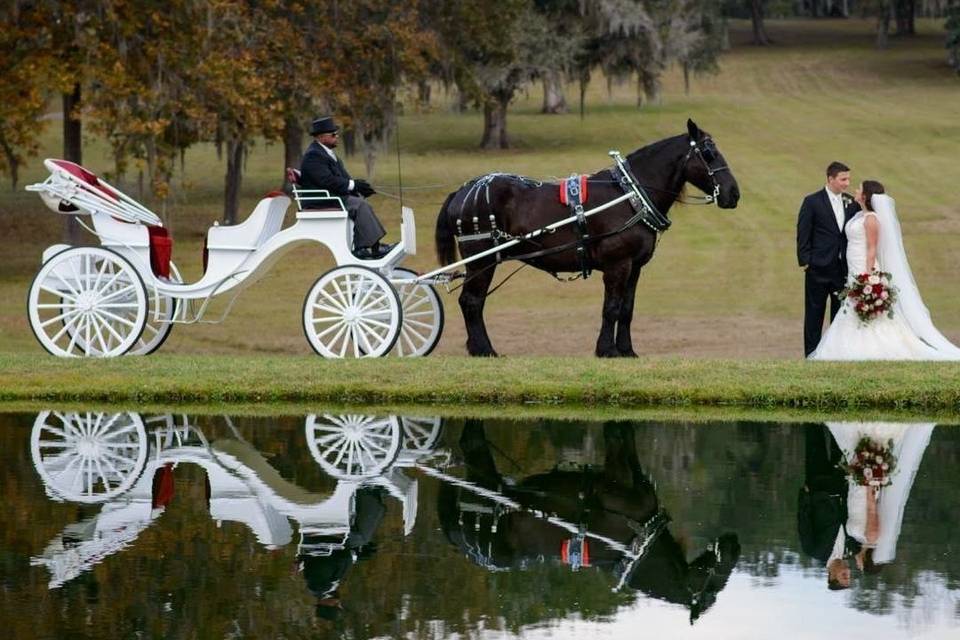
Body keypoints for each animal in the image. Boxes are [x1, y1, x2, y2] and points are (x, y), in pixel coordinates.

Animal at [436, 120, 744, 358]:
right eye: (709, 152)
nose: (733, 193)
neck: (629, 196)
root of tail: (461, 192)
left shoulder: (634, 267)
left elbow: (627, 309)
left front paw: (627, 350)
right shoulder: (617, 264)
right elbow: (611, 308)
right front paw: (607, 350)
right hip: (482, 260)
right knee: (471, 301)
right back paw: (484, 349)